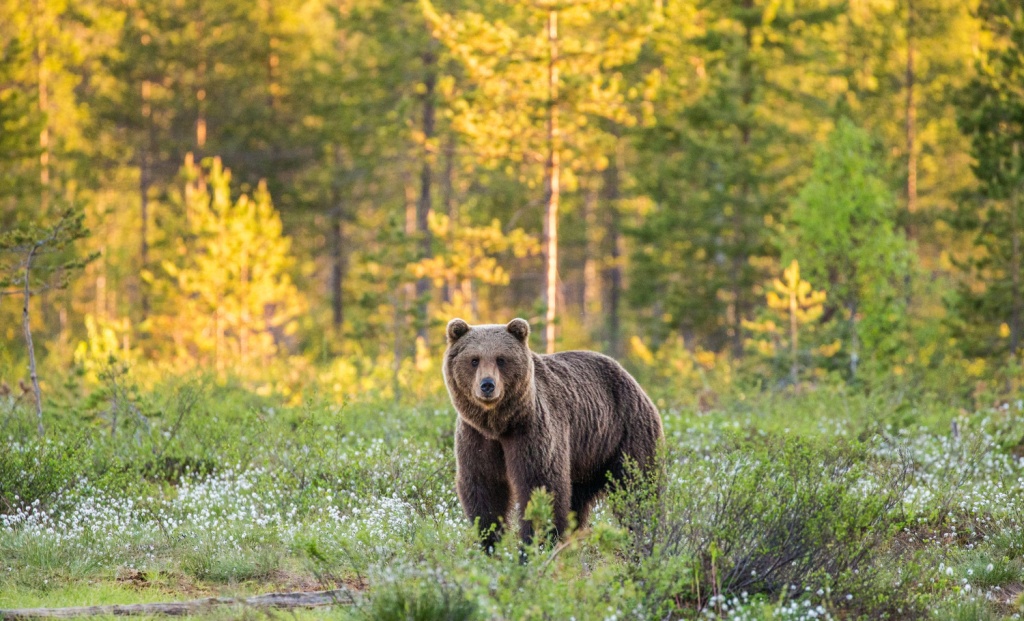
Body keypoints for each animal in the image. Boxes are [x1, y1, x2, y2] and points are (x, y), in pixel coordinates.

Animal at [443, 317, 663, 548]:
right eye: (474, 360)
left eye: (501, 359)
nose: (487, 385)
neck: (500, 424)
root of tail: (632, 380)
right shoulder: (476, 437)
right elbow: (484, 486)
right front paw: (490, 539)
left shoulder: (531, 430)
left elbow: (541, 482)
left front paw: (536, 541)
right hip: (586, 458)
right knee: (578, 498)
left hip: (625, 433)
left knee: (637, 487)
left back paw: (645, 534)